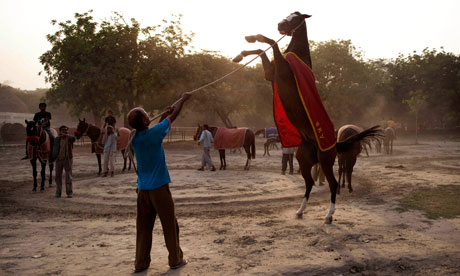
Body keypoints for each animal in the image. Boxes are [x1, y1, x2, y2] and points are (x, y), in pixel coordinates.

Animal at [234, 11, 380, 224]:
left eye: (295, 18)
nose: (280, 25)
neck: (297, 54)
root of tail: (335, 143)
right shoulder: (270, 74)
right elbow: (262, 50)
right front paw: (242, 51)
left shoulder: (280, 70)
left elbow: (271, 43)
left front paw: (254, 38)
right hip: (304, 159)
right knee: (309, 183)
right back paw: (300, 210)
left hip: (326, 160)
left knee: (333, 183)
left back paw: (329, 215)